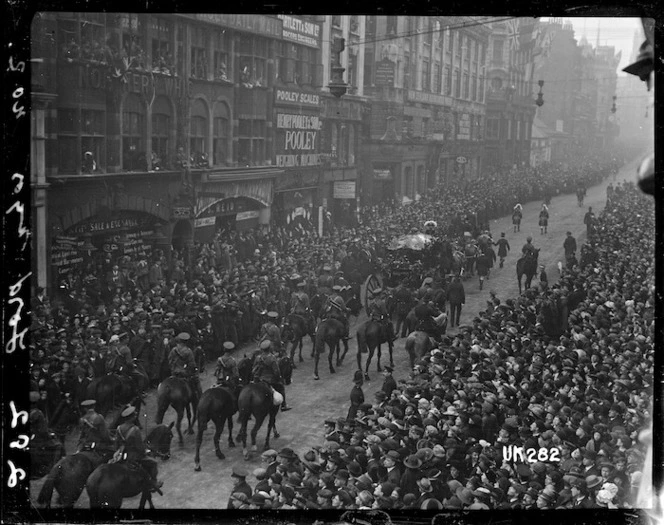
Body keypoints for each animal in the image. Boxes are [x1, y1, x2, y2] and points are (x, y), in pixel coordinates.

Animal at [36, 422, 174, 508]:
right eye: (170, 436)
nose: (167, 455)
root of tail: (58, 467)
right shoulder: (146, 487)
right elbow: (145, 500)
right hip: (74, 497)